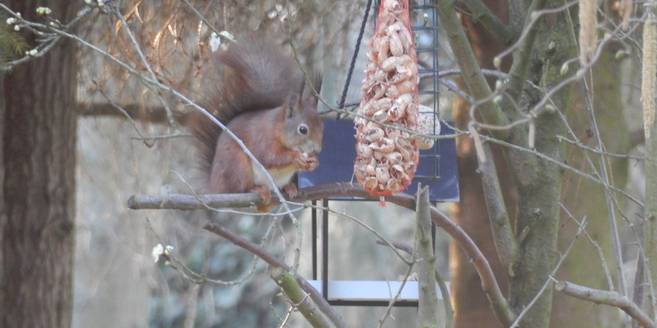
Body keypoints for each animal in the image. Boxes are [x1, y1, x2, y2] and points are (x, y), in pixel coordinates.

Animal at [190, 37, 322, 208]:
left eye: (322, 126)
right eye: (303, 129)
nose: (318, 149)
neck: (277, 128)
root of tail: (215, 187)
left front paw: (314, 162)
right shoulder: (263, 138)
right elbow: (270, 157)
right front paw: (296, 157)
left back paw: (289, 188)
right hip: (237, 166)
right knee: (239, 189)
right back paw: (257, 190)